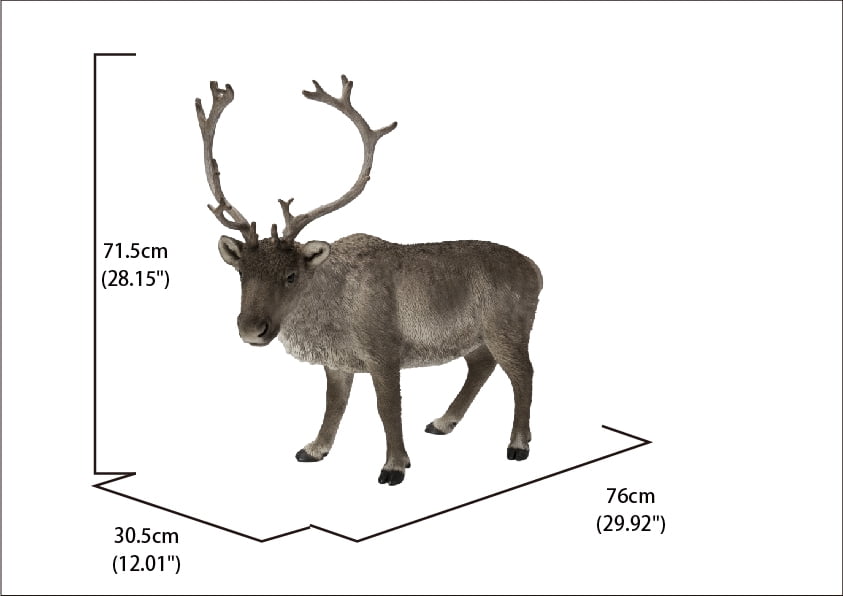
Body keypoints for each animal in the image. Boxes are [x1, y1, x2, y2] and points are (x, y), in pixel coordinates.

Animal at [196, 76, 542, 485]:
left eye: (291, 275)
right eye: (241, 272)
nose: (251, 328)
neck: (329, 313)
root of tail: (537, 270)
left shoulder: (384, 350)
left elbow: (387, 408)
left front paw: (394, 465)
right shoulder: (338, 362)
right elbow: (335, 404)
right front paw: (314, 448)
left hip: (508, 327)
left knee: (523, 373)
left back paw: (518, 443)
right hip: (476, 335)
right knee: (481, 364)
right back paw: (443, 421)